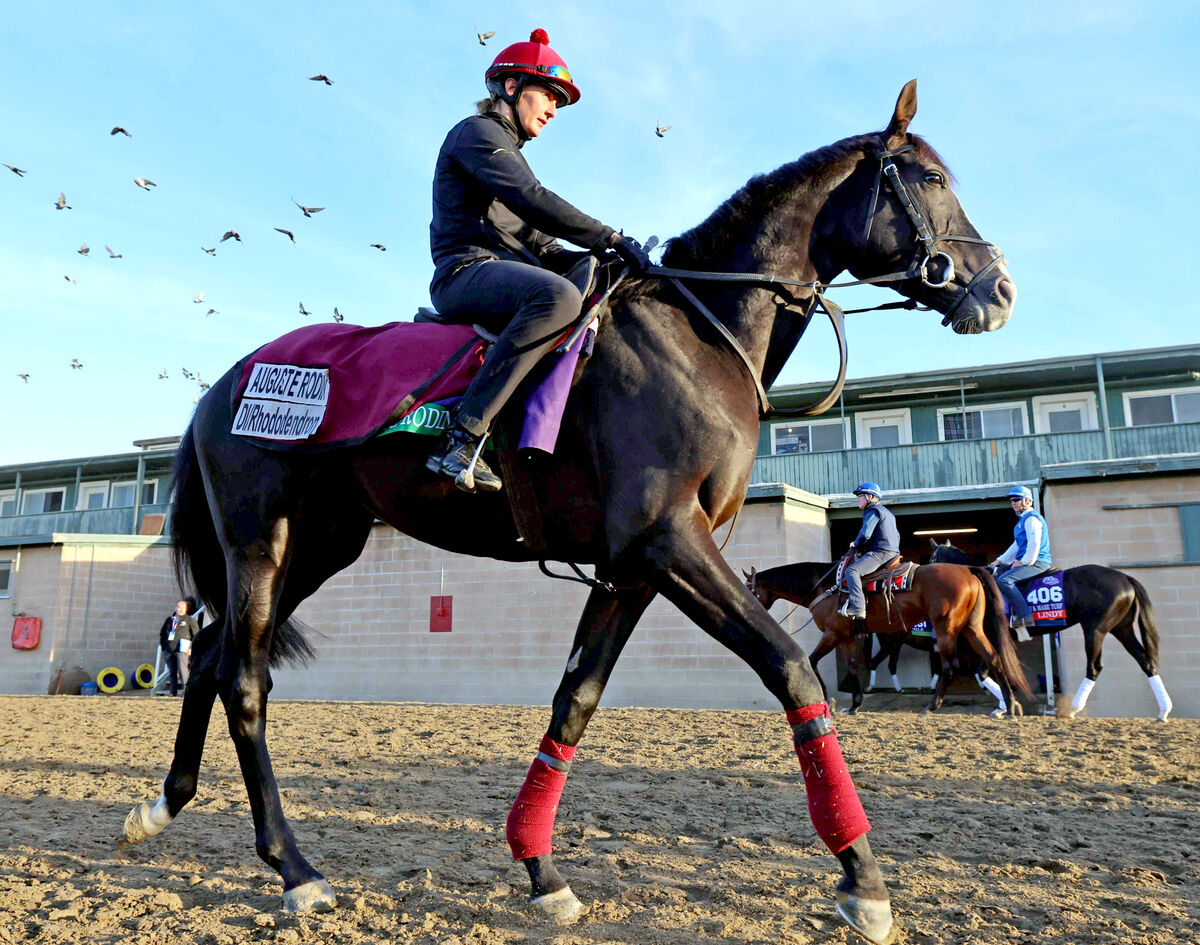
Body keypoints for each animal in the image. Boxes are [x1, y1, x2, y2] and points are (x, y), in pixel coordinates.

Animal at [739, 561, 1032, 714]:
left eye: (749, 589)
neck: (822, 586)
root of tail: (968, 570)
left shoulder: (832, 634)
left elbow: (811, 661)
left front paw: (826, 700)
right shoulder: (847, 637)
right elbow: (853, 666)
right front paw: (853, 705)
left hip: (946, 628)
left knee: (950, 665)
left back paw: (931, 706)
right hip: (971, 627)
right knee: (993, 658)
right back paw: (1011, 706)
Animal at [926, 542, 1171, 719]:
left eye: (931, 559)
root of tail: (1124, 577)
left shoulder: (994, 637)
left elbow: (985, 671)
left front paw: (1008, 705)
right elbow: (984, 672)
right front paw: (1004, 706)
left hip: (1095, 630)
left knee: (1094, 667)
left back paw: (1072, 709)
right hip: (1122, 629)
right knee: (1146, 661)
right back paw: (1163, 711)